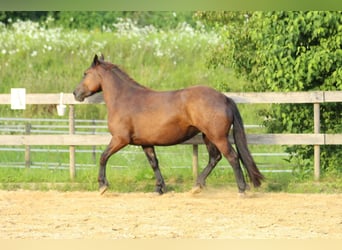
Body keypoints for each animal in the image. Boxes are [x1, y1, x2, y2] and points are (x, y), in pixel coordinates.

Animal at [73, 54, 264, 195]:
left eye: (85, 73)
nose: (76, 93)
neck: (124, 99)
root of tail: (224, 98)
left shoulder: (120, 139)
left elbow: (103, 156)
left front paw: (102, 186)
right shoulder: (146, 143)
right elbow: (154, 163)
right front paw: (159, 188)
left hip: (218, 136)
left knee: (232, 157)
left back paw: (241, 189)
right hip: (208, 136)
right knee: (214, 158)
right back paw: (197, 186)